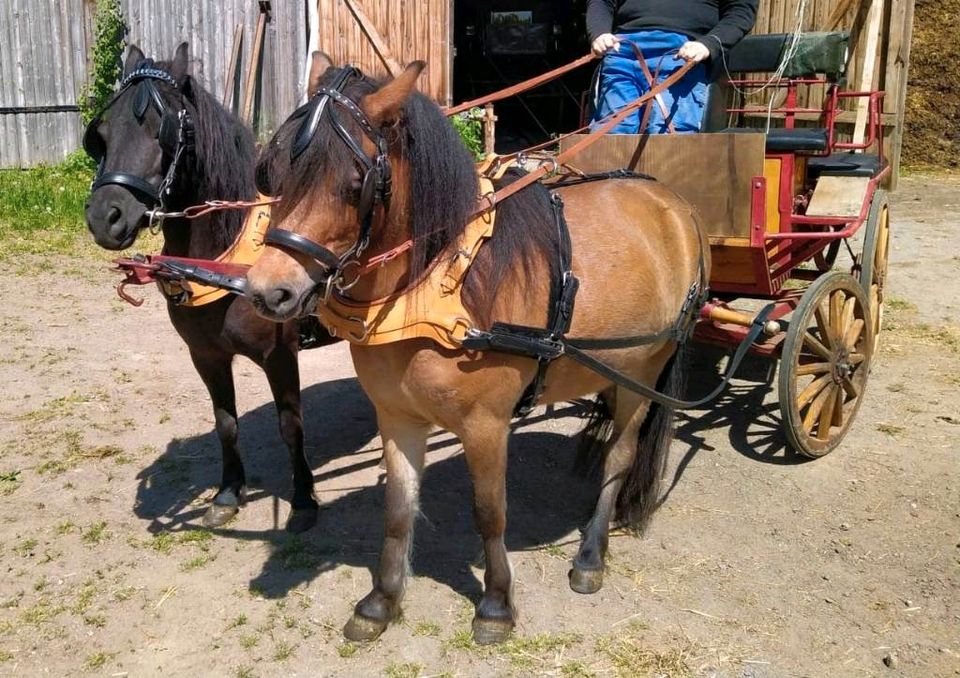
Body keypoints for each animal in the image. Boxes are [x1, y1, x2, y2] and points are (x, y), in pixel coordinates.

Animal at [83, 45, 338, 536]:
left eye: (160, 129)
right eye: (101, 134)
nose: (106, 216)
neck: (226, 258)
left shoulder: (280, 355)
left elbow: (290, 425)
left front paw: (302, 500)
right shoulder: (205, 355)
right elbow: (225, 423)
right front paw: (227, 494)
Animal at [246, 55, 712, 644]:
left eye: (355, 184)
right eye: (273, 171)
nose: (268, 292)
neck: (434, 290)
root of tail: (674, 205)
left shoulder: (487, 424)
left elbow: (490, 512)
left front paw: (495, 604)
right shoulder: (396, 416)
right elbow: (398, 509)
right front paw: (381, 601)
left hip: (645, 373)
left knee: (621, 456)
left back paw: (590, 554)